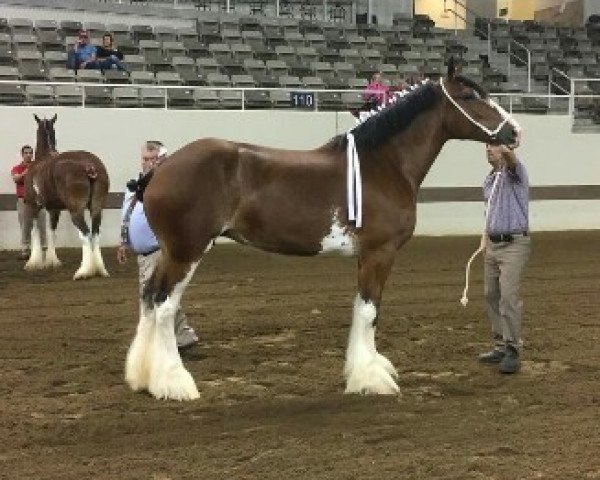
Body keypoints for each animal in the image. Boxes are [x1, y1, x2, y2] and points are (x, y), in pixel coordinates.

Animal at [24, 114, 111, 280]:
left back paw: (83, 272)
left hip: (76, 210)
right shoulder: (54, 209)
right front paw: (52, 261)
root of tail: (89, 165)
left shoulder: (33, 206)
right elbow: (51, 232)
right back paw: (100, 269)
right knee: (95, 233)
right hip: (97, 208)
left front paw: (33, 262)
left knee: (85, 234)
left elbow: (35, 231)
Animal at [126, 58, 520, 400]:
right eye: (469, 97)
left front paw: (366, 371)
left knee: (149, 299)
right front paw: (371, 379)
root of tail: (159, 170)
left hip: (172, 252)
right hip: (186, 251)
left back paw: (144, 378)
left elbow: (361, 309)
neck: (384, 164)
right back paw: (175, 383)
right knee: (164, 306)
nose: (514, 131)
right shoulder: (380, 253)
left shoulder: (366, 256)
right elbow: (370, 310)